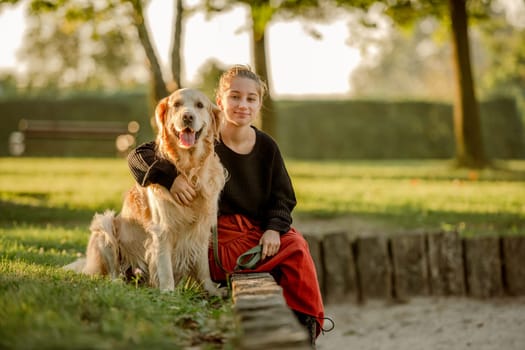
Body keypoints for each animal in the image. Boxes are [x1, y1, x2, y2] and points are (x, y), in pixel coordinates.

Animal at [63, 88, 225, 296]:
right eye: (177, 105)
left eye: (199, 105)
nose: (187, 117)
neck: (189, 170)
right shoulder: (162, 229)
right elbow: (165, 267)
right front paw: (168, 292)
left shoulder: (202, 228)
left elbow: (204, 266)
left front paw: (212, 290)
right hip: (104, 225)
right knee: (113, 272)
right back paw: (118, 282)